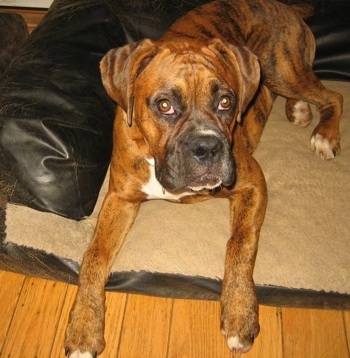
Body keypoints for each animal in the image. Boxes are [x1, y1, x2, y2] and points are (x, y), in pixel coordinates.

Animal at [65, 0, 342, 356]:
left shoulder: (252, 184)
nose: (207, 147)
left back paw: (324, 134)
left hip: (281, 69)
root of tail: (282, 6)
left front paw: (239, 314)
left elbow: (240, 244)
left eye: (226, 102)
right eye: (164, 105)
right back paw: (299, 110)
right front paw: (83, 328)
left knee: (332, 95)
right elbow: (94, 257)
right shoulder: (120, 198)